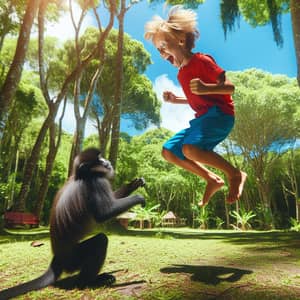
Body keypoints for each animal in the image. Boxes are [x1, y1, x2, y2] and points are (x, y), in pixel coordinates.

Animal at [0, 148, 145, 300]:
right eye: (99, 160)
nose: (106, 161)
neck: (81, 175)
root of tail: (57, 260)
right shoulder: (95, 181)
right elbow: (104, 213)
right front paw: (138, 197)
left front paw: (133, 184)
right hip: (73, 258)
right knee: (100, 241)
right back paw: (89, 282)